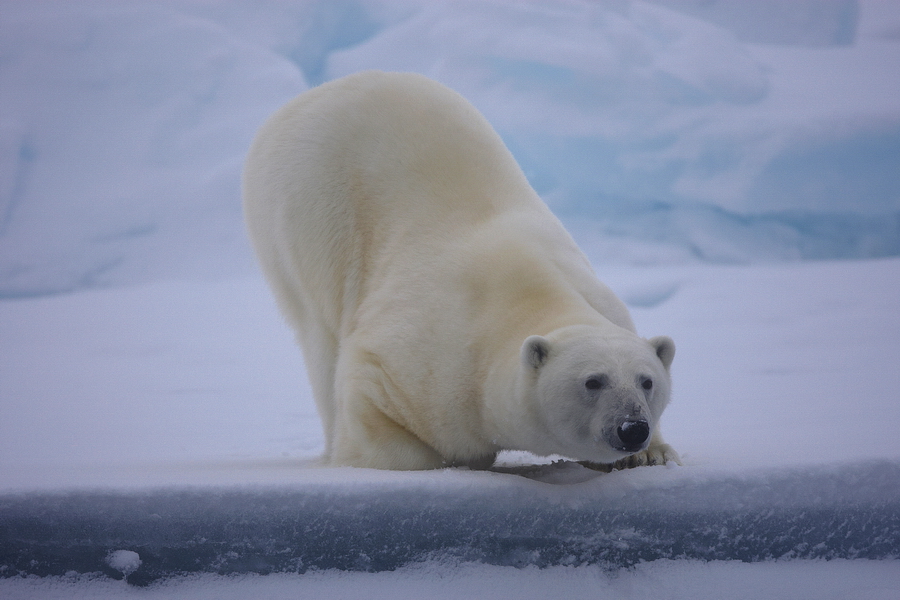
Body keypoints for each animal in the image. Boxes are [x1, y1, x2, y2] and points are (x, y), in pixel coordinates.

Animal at [243, 72, 680, 472]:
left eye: (647, 381)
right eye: (593, 380)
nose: (632, 427)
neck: (528, 293)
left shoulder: (602, 302)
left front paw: (653, 453)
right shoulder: (431, 356)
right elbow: (370, 390)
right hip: (303, 212)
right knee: (320, 336)